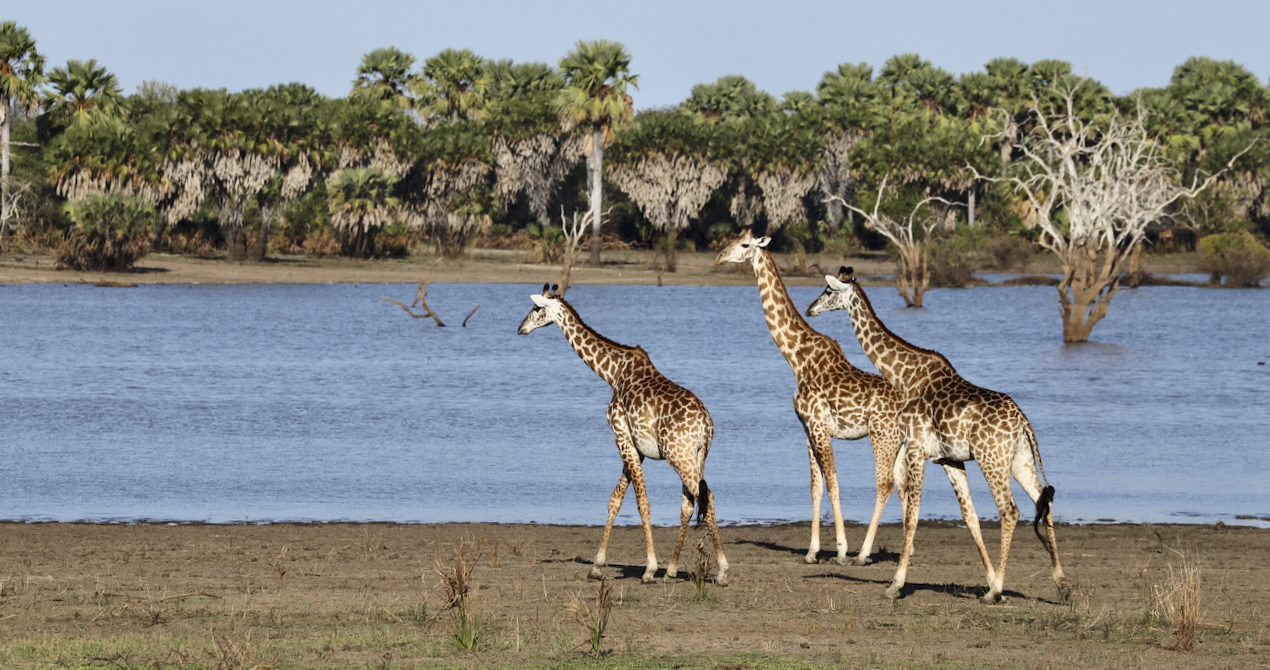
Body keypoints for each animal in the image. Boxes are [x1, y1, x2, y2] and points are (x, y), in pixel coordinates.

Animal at [515, 284, 731, 586]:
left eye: (536, 308)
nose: (520, 328)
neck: (612, 372)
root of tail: (706, 426)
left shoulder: (621, 436)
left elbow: (642, 502)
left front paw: (649, 569)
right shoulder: (636, 447)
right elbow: (615, 500)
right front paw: (596, 566)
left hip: (678, 455)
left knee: (706, 497)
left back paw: (721, 570)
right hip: (698, 457)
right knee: (690, 502)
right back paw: (672, 570)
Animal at [716, 230, 904, 565]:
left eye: (745, 245)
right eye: (733, 239)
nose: (719, 257)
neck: (797, 358)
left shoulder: (819, 426)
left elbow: (833, 483)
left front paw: (840, 550)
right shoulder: (806, 428)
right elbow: (816, 487)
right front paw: (812, 551)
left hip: (883, 435)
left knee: (885, 485)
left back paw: (862, 554)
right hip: (904, 444)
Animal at [807, 267, 1066, 606]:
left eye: (827, 291)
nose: (810, 309)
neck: (906, 376)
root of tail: (1023, 422)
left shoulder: (916, 449)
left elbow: (912, 515)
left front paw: (896, 585)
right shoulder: (949, 460)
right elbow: (969, 517)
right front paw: (988, 577)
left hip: (992, 460)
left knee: (1010, 510)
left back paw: (996, 592)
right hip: (1019, 460)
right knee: (1042, 501)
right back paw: (1061, 583)